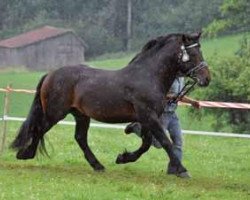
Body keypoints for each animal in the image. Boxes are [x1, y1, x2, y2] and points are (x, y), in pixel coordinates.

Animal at [12, 32, 211, 177]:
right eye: (193, 54)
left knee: (80, 138)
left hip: (80, 115)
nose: (207, 78)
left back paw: (98, 165)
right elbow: (165, 142)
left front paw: (123, 158)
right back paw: (25, 154)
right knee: (39, 129)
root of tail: (51, 74)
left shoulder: (148, 118)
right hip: (55, 113)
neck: (148, 76)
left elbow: (147, 144)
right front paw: (182, 170)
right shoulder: (148, 116)